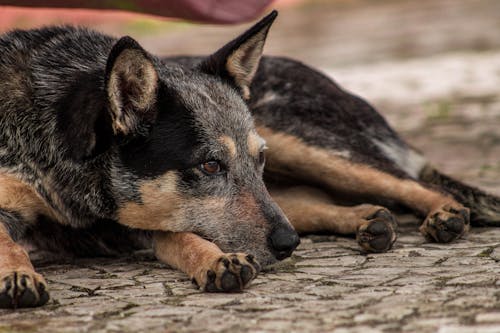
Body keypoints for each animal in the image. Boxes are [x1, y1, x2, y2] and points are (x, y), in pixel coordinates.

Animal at [0, 10, 498, 308]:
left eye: (256, 160)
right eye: (210, 165)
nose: (288, 246)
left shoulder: (135, 215)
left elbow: (183, 236)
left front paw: (215, 260)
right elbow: (9, 242)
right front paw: (17, 275)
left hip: (307, 147)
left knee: (410, 181)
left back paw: (444, 213)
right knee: (307, 203)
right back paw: (364, 219)